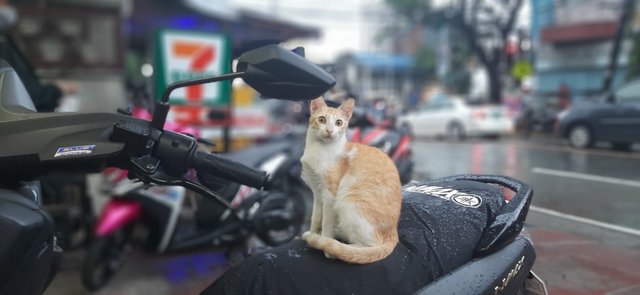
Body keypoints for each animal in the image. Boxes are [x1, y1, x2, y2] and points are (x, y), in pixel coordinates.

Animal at [298, 97, 400, 266]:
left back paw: (336, 246)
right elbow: (315, 218)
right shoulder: (317, 195)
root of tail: (393, 233)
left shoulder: (329, 195)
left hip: (348, 201)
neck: (319, 149)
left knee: (367, 246)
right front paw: (313, 233)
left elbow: (326, 222)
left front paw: (324, 242)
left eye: (339, 123)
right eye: (322, 119)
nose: (330, 131)